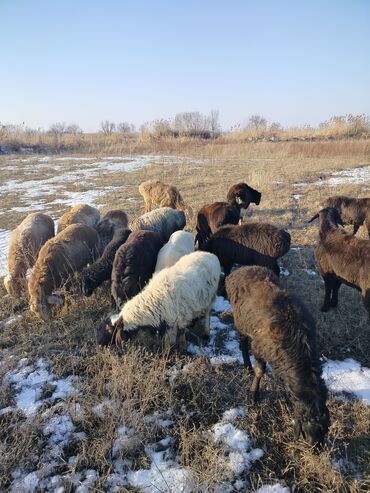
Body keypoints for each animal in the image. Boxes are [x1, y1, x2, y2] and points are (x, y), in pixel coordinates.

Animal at [225, 266, 330, 446]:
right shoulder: (259, 348)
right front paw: (253, 395)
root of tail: (241, 269)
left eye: (325, 429)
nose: (315, 447)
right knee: (243, 343)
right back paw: (247, 366)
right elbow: (260, 371)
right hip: (240, 322)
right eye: (307, 423)